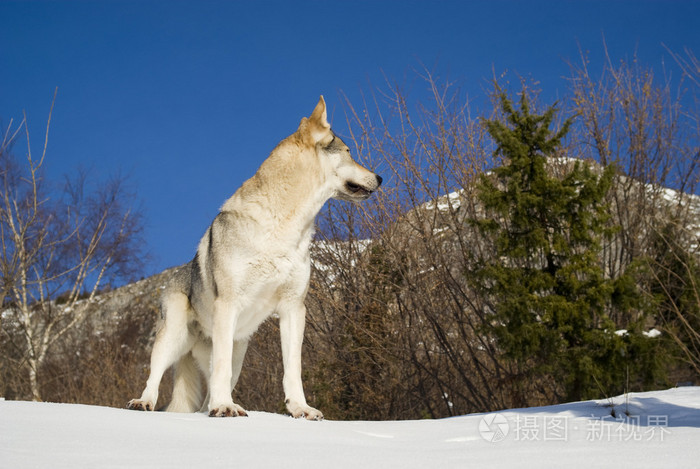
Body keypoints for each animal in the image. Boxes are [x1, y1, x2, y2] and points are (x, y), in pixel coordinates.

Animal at [130, 95, 382, 416]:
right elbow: (220, 368)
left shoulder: (293, 309)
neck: (284, 228)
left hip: (237, 349)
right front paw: (226, 407)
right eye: (349, 152)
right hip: (174, 338)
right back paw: (145, 403)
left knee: (206, 397)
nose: (380, 177)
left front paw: (301, 410)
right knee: (155, 377)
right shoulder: (228, 305)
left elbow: (293, 369)